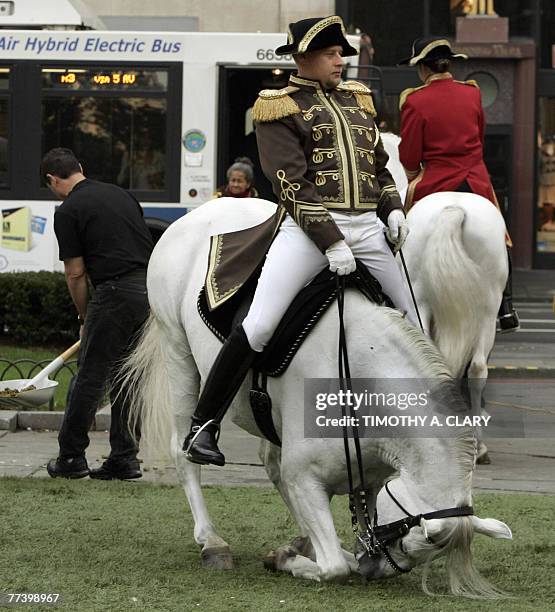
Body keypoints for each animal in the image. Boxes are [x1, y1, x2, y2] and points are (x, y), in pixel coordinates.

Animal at [122, 197, 512, 596]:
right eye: (408, 541)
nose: (374, 569)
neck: (362, 378)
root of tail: (207, 209)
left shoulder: (366, 477)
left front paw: (309, 549)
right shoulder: (304, 475)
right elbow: (335, 567)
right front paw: (290, 559)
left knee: (271, 463)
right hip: (177, 350)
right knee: (184, 448)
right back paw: (212, 540)